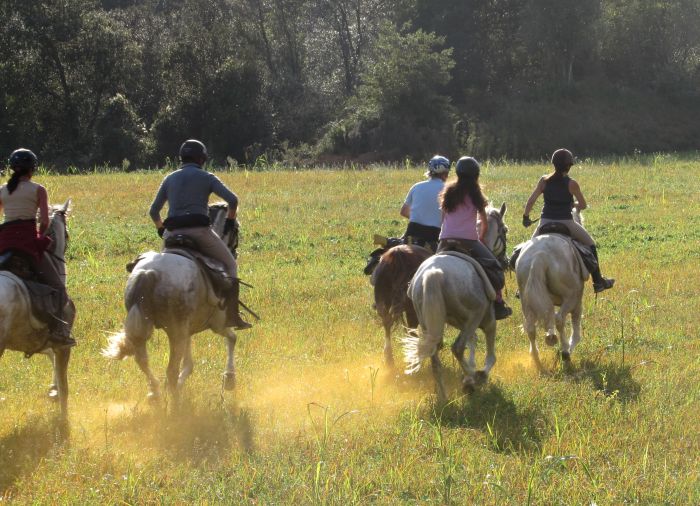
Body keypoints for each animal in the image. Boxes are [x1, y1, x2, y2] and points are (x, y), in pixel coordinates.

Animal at [102, 204, 246, 406]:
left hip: (158, 328)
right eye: (237, 228)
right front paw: (230, 379)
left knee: (143, 360)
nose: (235, 252)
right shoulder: (216, 323)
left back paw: (155, 392)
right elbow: (232, 338)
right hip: (176, 331)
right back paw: (175, 404)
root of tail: (149, 273)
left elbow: (189, 364)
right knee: (170, 369)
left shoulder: (188, 331)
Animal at [404, 204, 508, 402]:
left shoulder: (461, 322)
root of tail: (433, 275)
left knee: (435, 359)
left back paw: (444, 397)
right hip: (476, 314)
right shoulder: (488, 320)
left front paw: (471, 370)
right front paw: (479, 374)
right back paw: (472, 379)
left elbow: (473, 340)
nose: (505, 261)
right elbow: (490, 355)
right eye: (505, 230)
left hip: (430, 325)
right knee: (458, 347)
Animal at [516, 210, 588, 372]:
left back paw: (538, 363)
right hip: (571, 297)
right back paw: (565, 352)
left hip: (526, 301)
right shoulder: (577, 301)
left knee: (531, 328)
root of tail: (539, 256)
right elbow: (576, 330)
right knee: (559, 319)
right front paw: (568, 348)